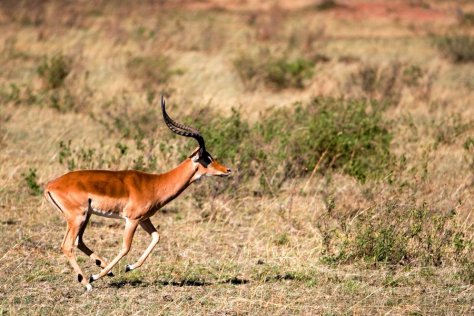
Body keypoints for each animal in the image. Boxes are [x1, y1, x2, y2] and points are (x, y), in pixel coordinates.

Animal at [44, 97, 231, 292]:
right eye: (207, 158)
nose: (227, 170)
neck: (155, 183)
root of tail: (51, 185)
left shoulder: (144, 219)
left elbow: (156, 237)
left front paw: (128, 267)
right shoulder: (132, 220)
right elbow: (126, 247)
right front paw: (96, 276)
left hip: (85, 216)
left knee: (78, 242)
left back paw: (103, 271)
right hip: (77, 217)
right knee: (67, 246)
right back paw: (88, 282)